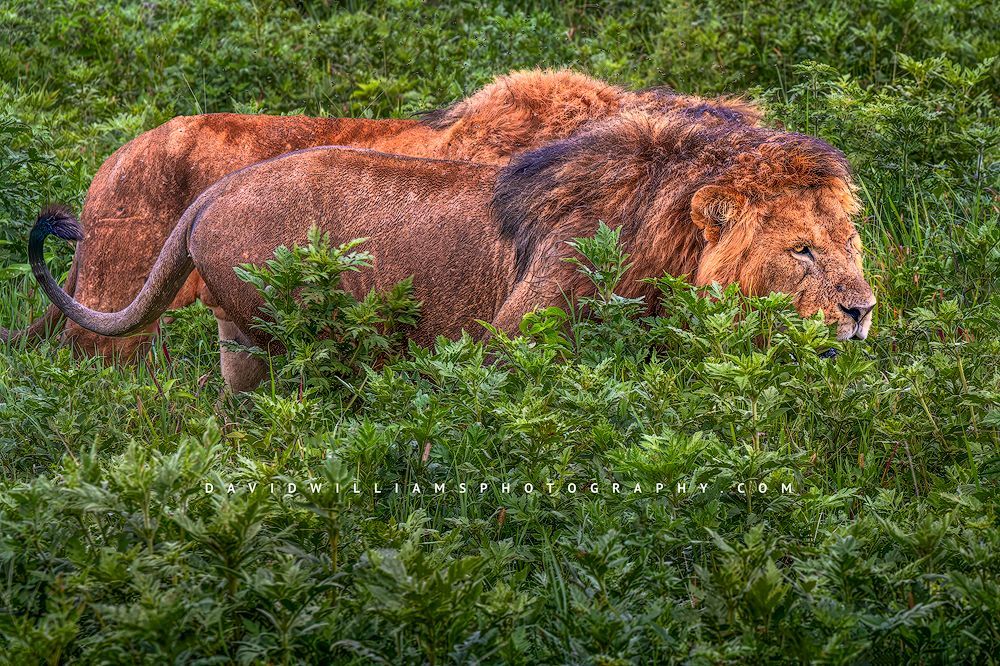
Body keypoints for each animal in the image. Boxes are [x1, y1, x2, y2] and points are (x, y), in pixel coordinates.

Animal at [29, 110, 875, 392]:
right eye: (802, 250)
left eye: (849, 244)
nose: (862, 311)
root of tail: (213, 194)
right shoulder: (517, 337)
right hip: (284, 335)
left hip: (240, 342)